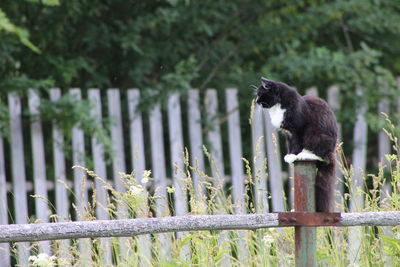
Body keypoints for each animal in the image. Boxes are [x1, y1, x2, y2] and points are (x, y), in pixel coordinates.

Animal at [256, 77, 338, 214]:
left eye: (260, 94)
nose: (256, 101)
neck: (279, 107)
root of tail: (331, 152)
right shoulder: (288, 134)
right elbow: (292, 145)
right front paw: (290, 155)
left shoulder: (299, 129)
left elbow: (297, 143)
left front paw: (294, 155)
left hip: (317, 136)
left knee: (319, 153)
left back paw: (305, 154)